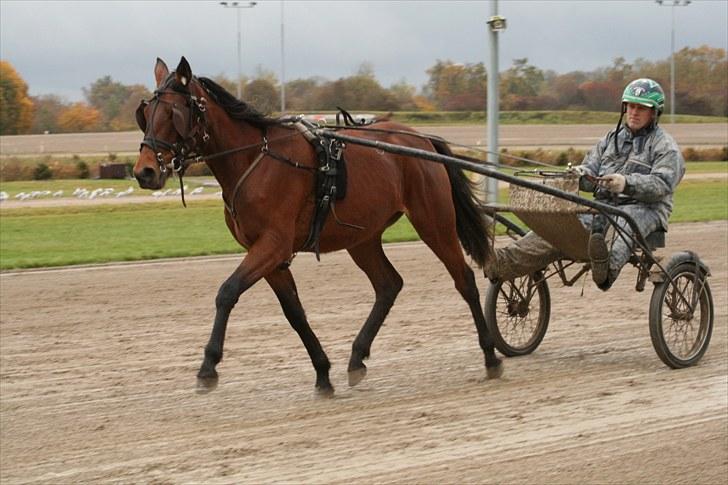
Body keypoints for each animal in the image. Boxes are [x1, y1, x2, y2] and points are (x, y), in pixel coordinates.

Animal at [134, 56, 504, 396]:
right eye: (146, 114)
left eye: (173, 113)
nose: (144, 171)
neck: (255, 159)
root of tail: (421, 140)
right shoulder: (268, 253)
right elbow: (294, 312)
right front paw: (323, 373)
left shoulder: (273, 244)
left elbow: (227, 292)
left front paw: (208, 366)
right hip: (362, 236)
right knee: (389, 284)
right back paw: (356, 358)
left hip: (433, 220)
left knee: (464, 279)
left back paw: (491, 356)